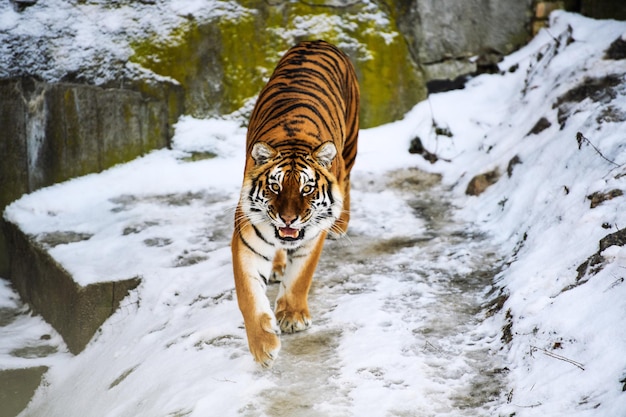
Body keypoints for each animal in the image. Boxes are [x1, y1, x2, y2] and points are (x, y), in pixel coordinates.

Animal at [230, 40, 358, 366]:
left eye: (307, 189)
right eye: (275, 187)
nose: (288, 219)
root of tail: (317, 41)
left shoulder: (312, 235)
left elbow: (301, 276)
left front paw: (292, 317)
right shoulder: (247, 240)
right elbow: (248, 296)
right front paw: (263, 347)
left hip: (350, 146)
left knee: (347, 179)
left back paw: (341, 224)